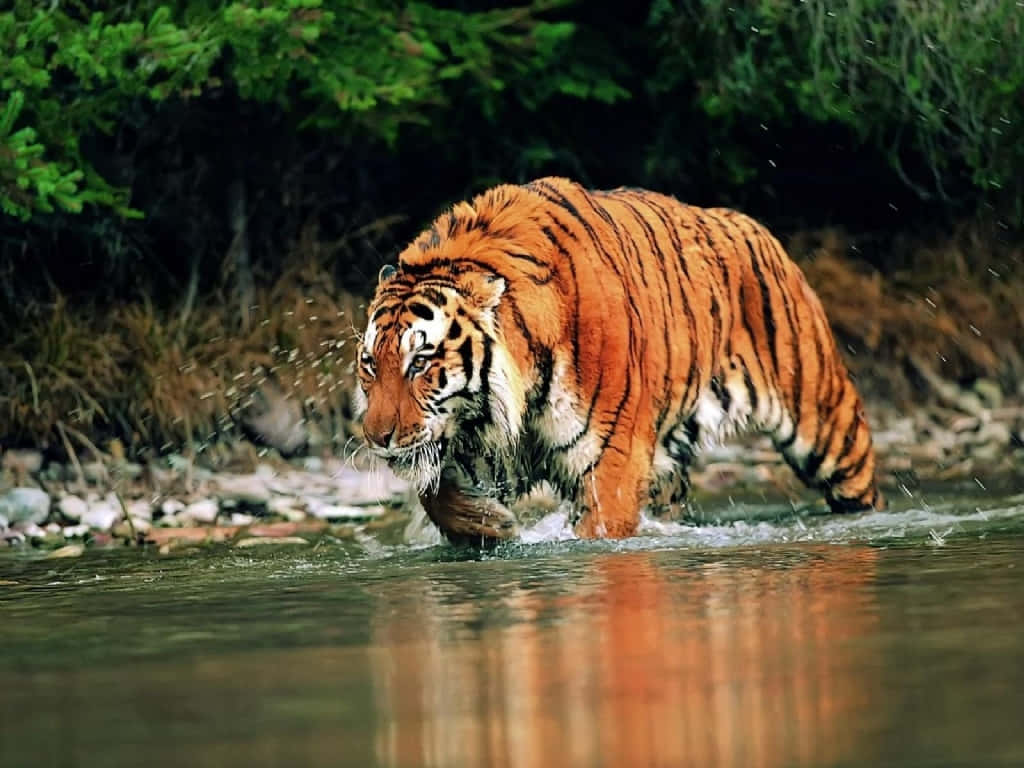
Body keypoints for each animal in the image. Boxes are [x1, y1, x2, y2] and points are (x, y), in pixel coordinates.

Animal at [352, 177, 880, 544]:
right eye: (370, 366)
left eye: (420, 362)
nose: (376, 438)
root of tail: (757, 229)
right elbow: (436, 493)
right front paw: (490, 527)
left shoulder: (611, 462)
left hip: (826, 425)